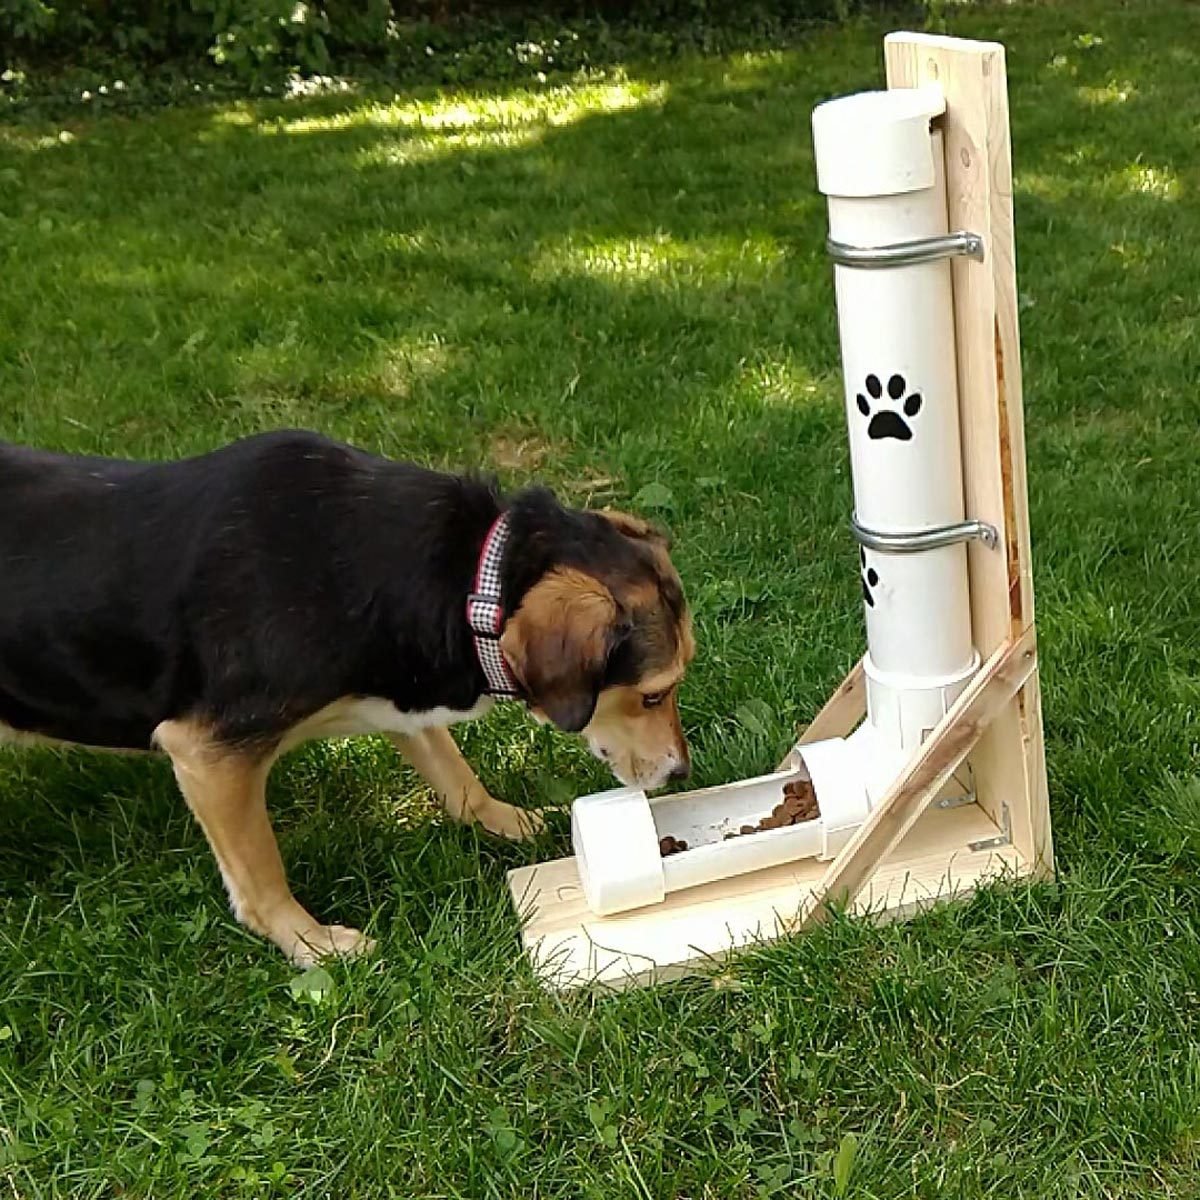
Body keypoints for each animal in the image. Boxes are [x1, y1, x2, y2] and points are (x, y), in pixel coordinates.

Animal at [0, 432, 696, 964]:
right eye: (653, 695)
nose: (682, 773)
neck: (473, 578)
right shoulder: (206, 751)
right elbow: (261, 877)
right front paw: (309, 943)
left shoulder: (400, 696)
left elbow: (457, 776)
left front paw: (509, 821)